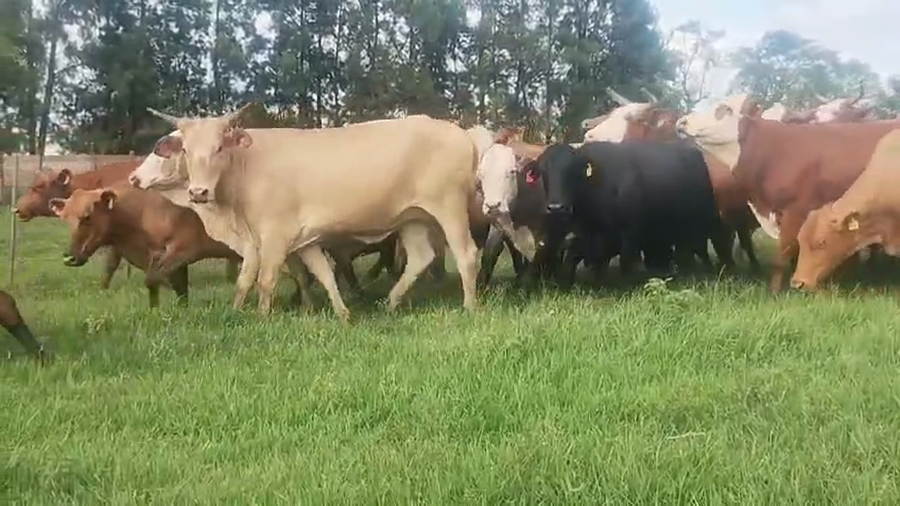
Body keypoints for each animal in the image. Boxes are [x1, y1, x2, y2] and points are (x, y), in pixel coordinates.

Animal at [145, 106, 479, 318]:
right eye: (185, 150)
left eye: (218, 148)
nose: (198, 192)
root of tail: (462, 133)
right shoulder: (304, 239)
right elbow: (322, 274)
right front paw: (342, 314)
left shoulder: (273, 235)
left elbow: (264, 280)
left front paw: (261, 317)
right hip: (412, 217)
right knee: (421, 257)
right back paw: (390, 302)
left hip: (448, 206)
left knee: (467, 255)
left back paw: (470, 306)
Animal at [528, 140, 732, 284]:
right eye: (543, 172)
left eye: (573, 170)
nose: (556, 207)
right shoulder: (587, 239)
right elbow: (580, 261)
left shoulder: (630, 234)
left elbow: (625, 263)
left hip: (706, 218)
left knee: (711, 245)